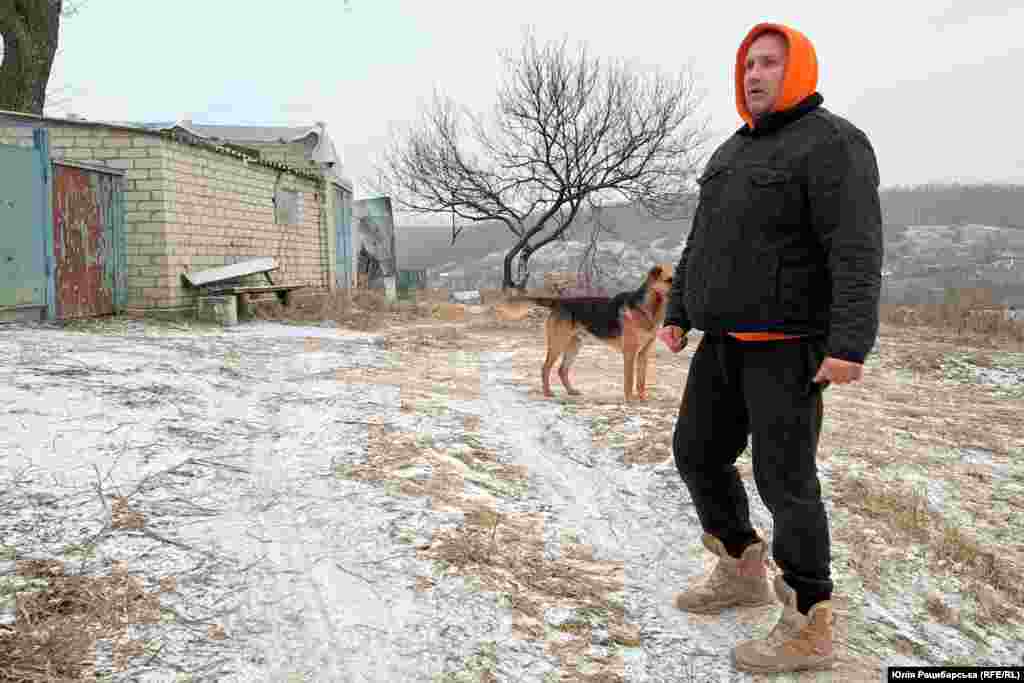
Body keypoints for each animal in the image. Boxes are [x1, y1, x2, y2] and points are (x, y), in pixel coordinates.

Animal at [501, 264, 671, 401]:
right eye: (670, 280)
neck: (648, 308)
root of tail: (559, 302)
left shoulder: (643, 354)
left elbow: (641, 381)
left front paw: (642, 398)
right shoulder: (629, 353)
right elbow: (629, 380)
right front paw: (630, 400)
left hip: (574, 345)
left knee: (562, 370)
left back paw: (571, 391)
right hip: (558, 343)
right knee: (545, 368)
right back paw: (547, 392)